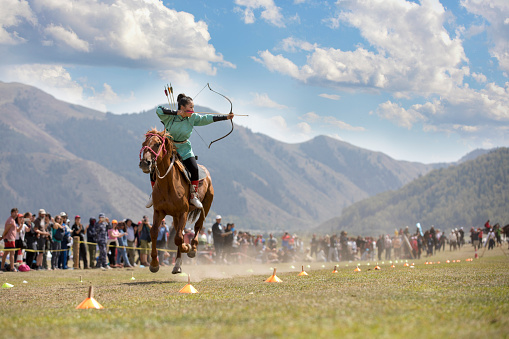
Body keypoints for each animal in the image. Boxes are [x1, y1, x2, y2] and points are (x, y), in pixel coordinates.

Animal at [138, 129, 213, 274]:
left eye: (157, 144)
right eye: (144, 144)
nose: (145, 163)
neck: (168, 184)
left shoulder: (183, 211)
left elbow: (178, 238)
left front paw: (187, 247)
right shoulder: (159, 211)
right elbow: (154, 233)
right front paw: (154, 263)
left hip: (205, 205)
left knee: (198, 226)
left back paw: (192, 249)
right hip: (175, 216)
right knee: (181, 232)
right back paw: (177, 264)